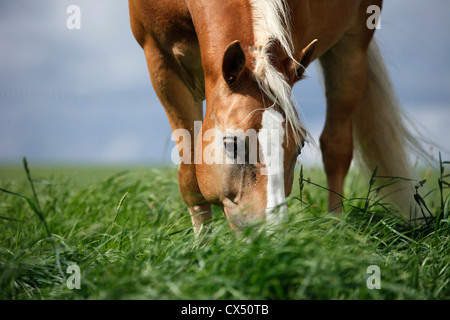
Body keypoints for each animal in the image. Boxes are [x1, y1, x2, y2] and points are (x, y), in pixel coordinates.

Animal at [127, 0, 426, 235]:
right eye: (232, 144)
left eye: (300, 147)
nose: (270, 235)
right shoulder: (161, 60)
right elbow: (189, 173)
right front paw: (202, 248)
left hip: (352, 44)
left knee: (337, 148)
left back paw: (336, 227)